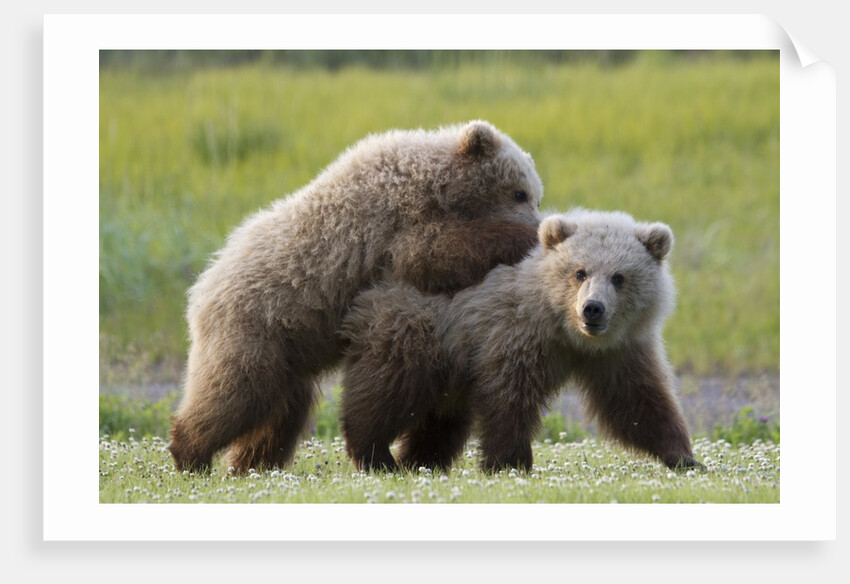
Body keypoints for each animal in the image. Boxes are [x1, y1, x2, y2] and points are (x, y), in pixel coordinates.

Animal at [167, 120, 544, 473]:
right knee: (234, 395)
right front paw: (525, 237)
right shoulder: (399, 218)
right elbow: (430, 252)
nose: (537, 215)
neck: (439, 180)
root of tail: (202, 288)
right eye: (520, 193)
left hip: (290, 353)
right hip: (255, 329)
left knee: (281, 414)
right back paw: (190, 454)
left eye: (533, 194)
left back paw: (250, 463)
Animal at [339, 208, 702, 472]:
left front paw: (684, 457)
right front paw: (508, 463)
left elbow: (638, 400)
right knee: (388, 390)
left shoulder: (619, 350)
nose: (592, 309)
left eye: (619, 277)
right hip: (418, 332)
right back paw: (376, 455)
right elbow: (510, 397)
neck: (564, 331)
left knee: (442, 419)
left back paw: (420, 461)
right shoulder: (515, 335)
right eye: (579, 272)